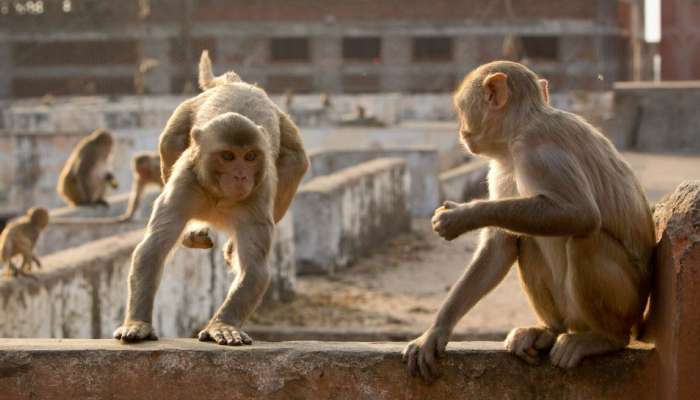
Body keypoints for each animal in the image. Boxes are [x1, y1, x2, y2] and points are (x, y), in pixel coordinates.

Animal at [113, 49, 308, 344]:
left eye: (250, 156)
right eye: (227, 156)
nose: (240, 176)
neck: (219, 196)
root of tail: (237, 83)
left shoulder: (258, 197)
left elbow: (254, 268)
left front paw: (223, 325)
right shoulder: (183, 185)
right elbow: (152, 249)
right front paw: (137, 323)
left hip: (284, 131)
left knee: (295, 162)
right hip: (184, 115)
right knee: (170, 140)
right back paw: (193, 233)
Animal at [404, 60, 656, 382]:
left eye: (461, 108)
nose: (461, 130)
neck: (518, 129)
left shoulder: (537, 151)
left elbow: (580, 213)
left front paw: (462, 216)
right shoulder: (500, 167)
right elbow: (499, 245)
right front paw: (436, 331)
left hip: (626, 302)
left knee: (585, 238)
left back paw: (605, 338)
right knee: (527, 238)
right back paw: (548, 330)